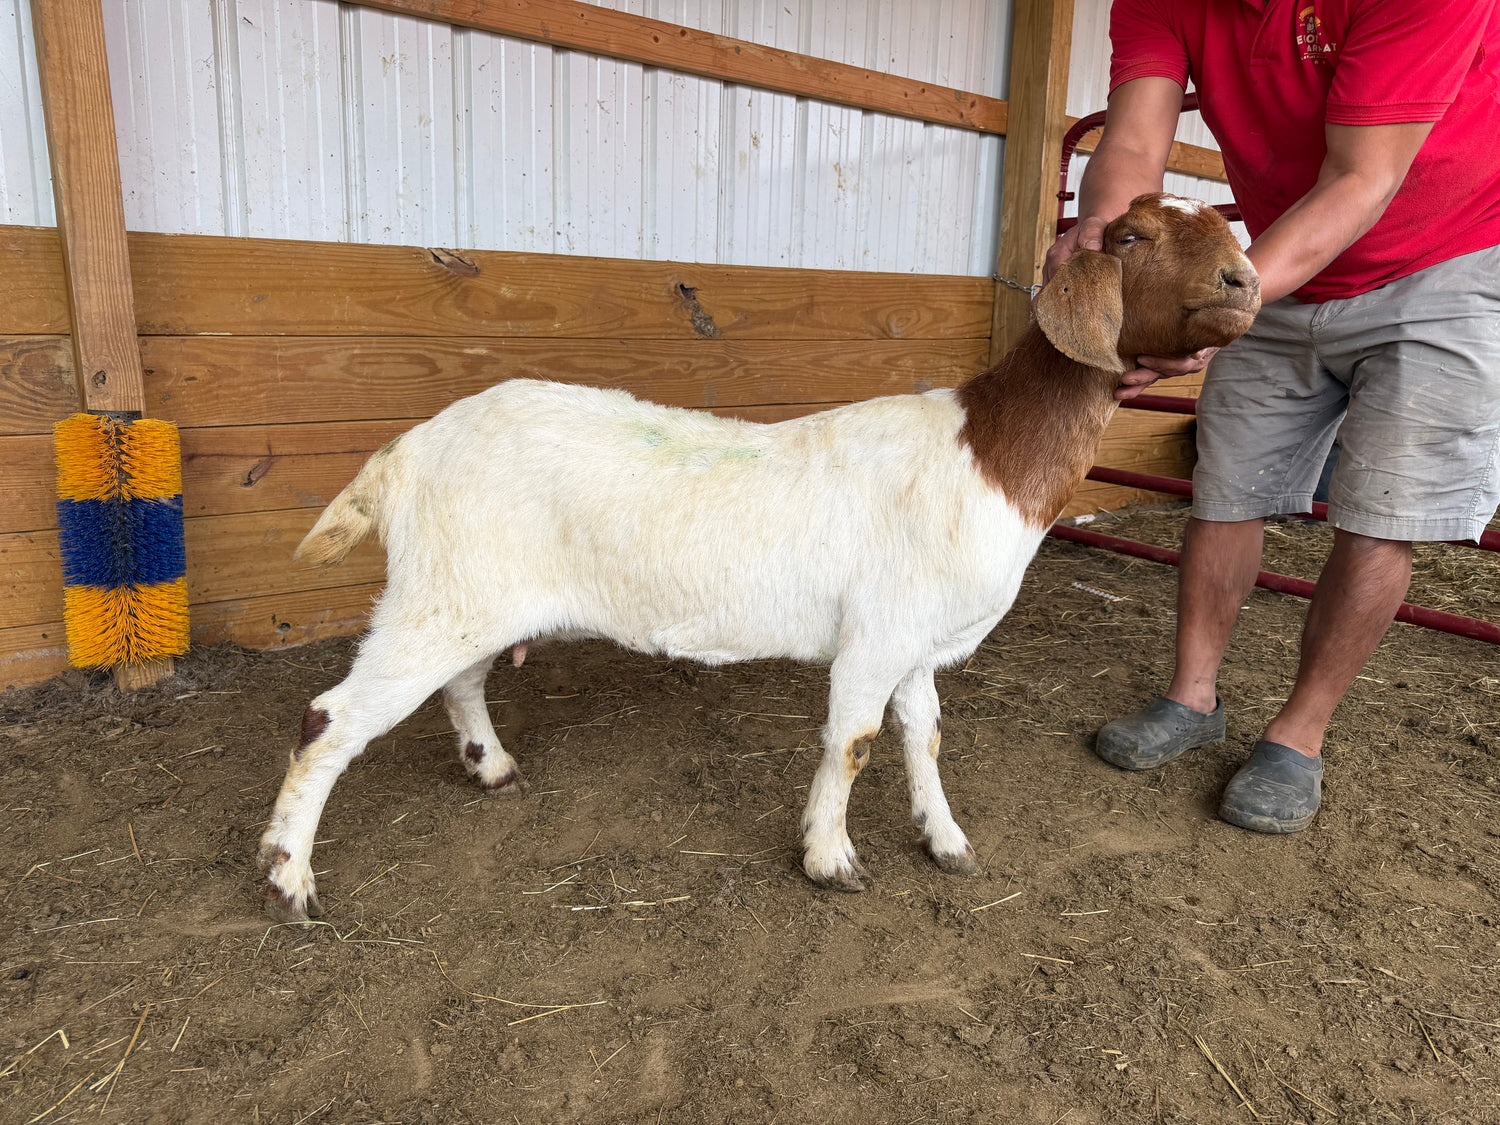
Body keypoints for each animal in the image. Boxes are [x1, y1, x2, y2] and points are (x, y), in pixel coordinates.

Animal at [258, 194, 1259, 921]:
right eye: (1131, 235)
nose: (1246, 280)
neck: (988, 453)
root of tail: (405, 451)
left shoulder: (917, 641)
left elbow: (924, 736)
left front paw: (945, 840)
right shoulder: (874, 636)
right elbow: (854, 742)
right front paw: (830, 857)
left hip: (468, 595)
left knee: (460, 682)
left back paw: (489, 764)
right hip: (440, 596)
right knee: (327, 718)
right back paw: (287, 877)